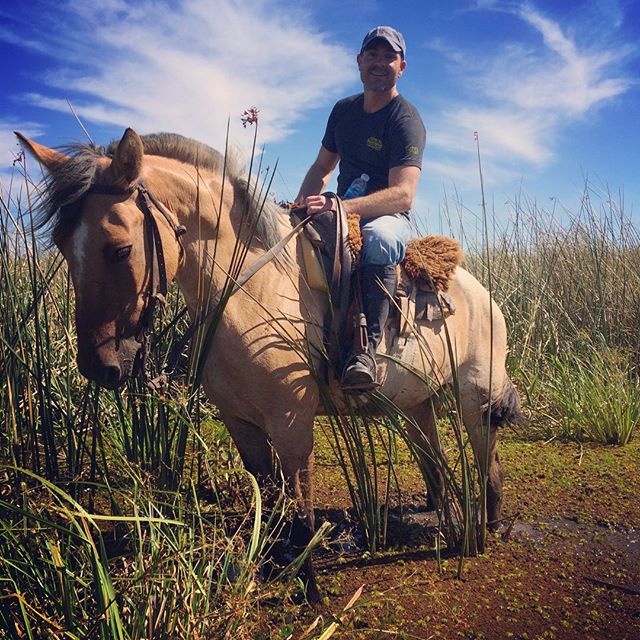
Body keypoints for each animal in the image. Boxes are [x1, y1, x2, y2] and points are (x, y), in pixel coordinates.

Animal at [18, 129, 520, 600]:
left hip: (476, 403)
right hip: (416, 407)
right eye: (62, 244)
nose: (100, 367)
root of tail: (482, 294)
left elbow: (301, 511)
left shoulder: (292, 424)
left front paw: (310, 588)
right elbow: (272, 501)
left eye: (120, 249)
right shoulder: (242, 425)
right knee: (435, 461)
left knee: (489, 463)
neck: (250, 291)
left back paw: (489, 527)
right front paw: (276, 564)